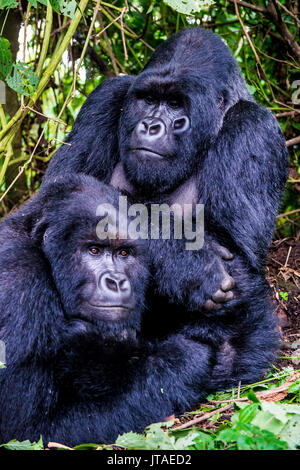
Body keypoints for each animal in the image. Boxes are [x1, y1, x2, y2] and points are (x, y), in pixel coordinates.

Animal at [44, 28, 288, 316]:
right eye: (149, 100)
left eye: (174, 103)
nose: (150, 125)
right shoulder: (106, 96)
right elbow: (59, 192)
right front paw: (190, 263)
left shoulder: (254, 127)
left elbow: (238, 256)